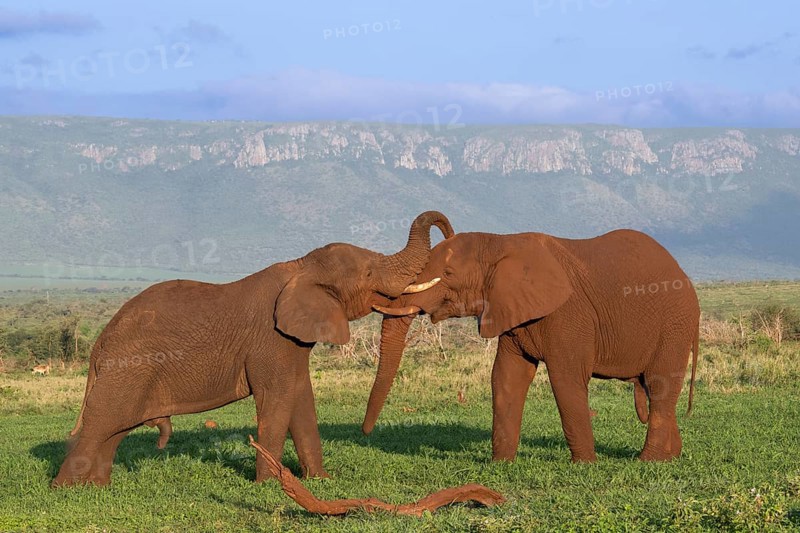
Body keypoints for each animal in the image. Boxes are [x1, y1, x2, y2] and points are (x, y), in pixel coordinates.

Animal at [52, 211, 453, 487]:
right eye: (369, 274)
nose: (449, 235)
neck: (300, 266)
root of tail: (99, 344)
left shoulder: (291, 342)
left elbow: (300, 397)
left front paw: (320, 482)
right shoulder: (270, 339)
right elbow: (277, 396)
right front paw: (270, 486)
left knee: (114, 430)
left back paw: (95, 489)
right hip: (129, 367)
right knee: (101, 425)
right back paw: (66, 491)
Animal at [364, 229, 700, 463]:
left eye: (448, 274)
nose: (365, 433)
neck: (499, 242)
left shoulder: (567, 313)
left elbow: (565, 379)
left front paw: (585, 465)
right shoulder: (511, 311)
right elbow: (506, 377)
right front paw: (501, 464)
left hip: (675, 325)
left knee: (659, 385)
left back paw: (648, 461)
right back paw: (672, 456)